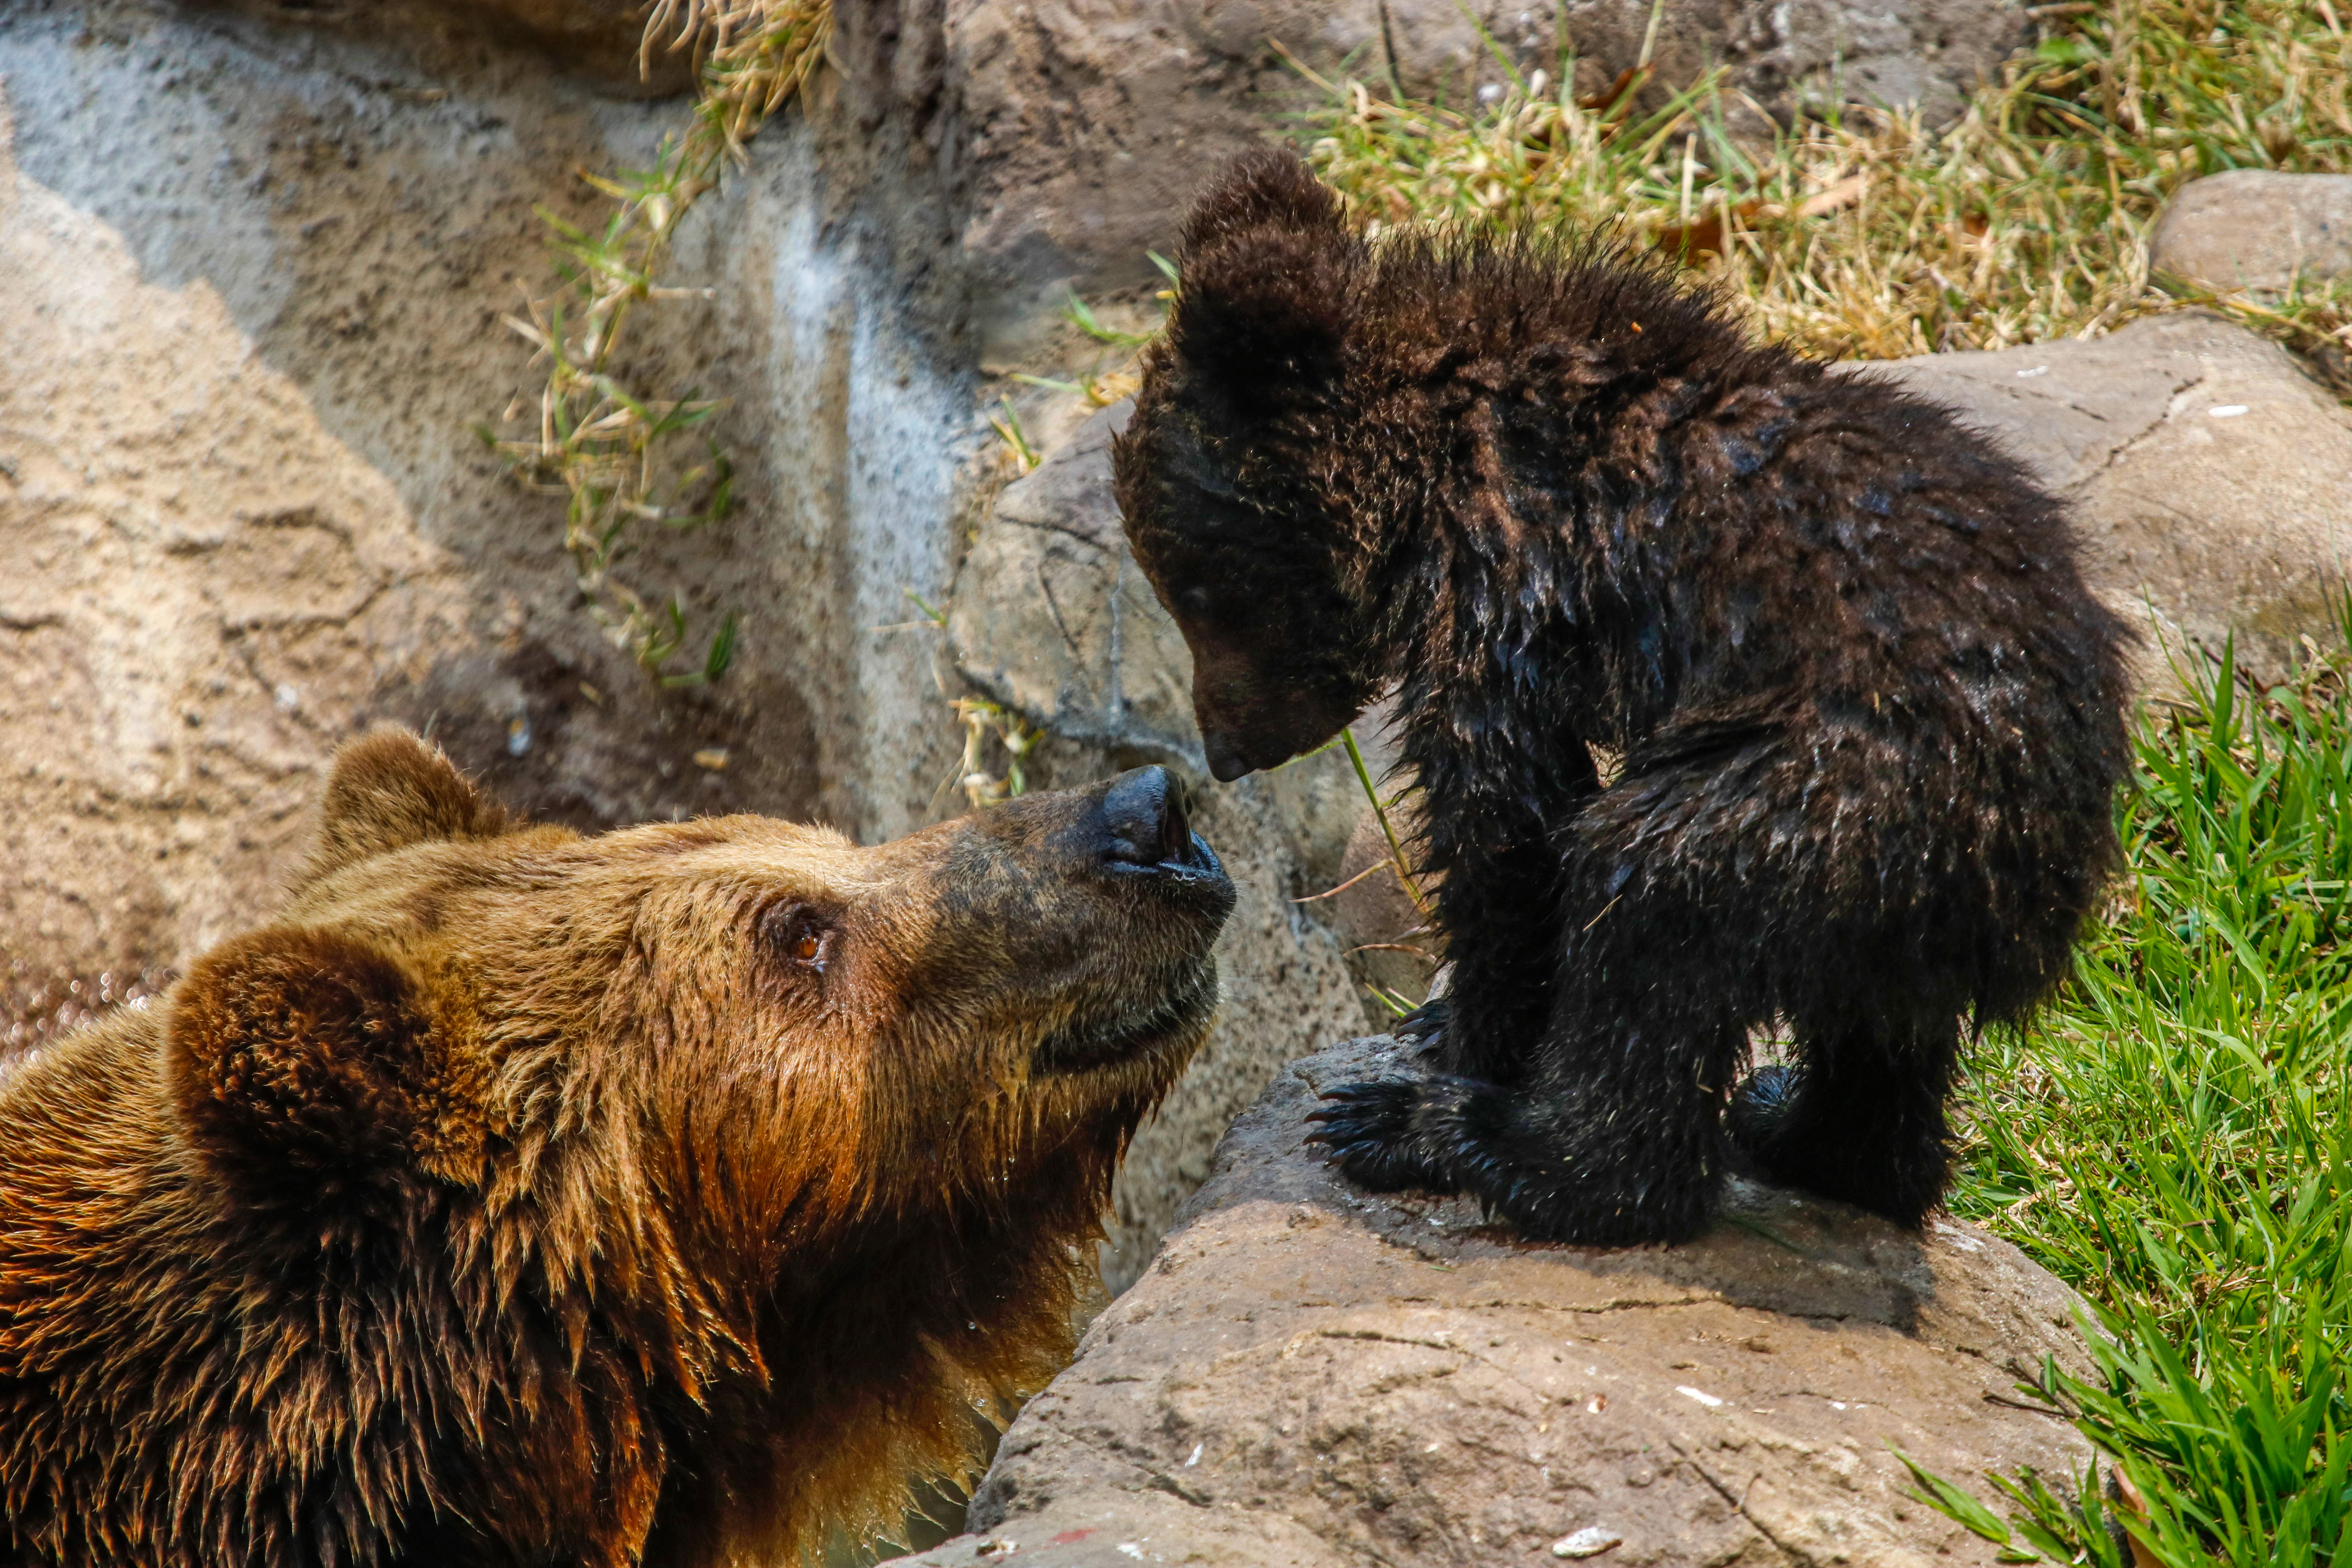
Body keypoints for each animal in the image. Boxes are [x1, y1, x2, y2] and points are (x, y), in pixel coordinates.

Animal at [1115, 147, 2136, 1250]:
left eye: (1195, 589)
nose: (1226, 751)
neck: (1429, 466)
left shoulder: (1505, 592)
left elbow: (1506, 828)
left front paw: (1451, 1040)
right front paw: (1433, 1023)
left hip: (1834, 788)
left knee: (1650, 896)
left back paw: (1460, 1139)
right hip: (1902, 881)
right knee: (1880, 1037)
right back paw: (1799, 1129)